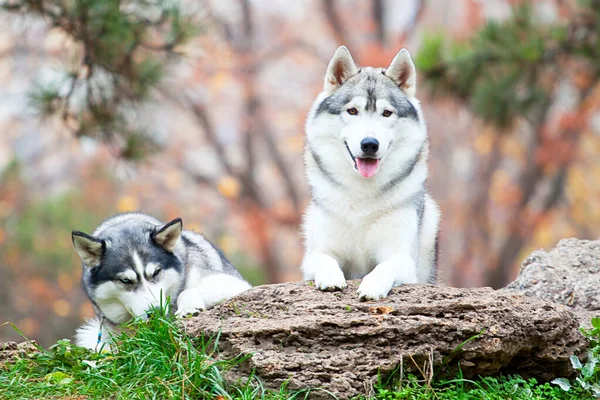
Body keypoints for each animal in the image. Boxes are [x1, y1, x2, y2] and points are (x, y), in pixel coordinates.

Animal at [72, 212, 251, 350]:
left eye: (156, 272)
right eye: (125, 280)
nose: (156, 312)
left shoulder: (235, 284)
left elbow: (186, 291)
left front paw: (188, 308)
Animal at [302, 47, 438, 300]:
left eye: (386, 113)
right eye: (352, 111)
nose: (369, 144)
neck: (361, 197)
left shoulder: (402, 258)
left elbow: (385, 266)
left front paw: (372, 285)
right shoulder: (315, 255)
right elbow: (324, 259)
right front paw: (331, 277)